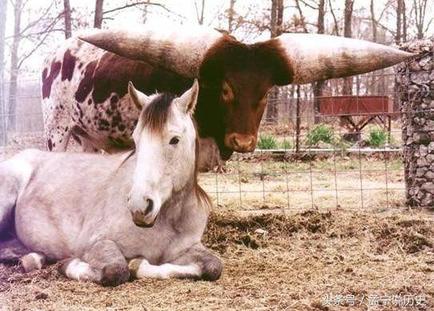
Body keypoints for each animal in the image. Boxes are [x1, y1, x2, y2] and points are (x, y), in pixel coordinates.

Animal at [0, 81, 222, 288]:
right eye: (136, 140)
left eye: (174, 139)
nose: (139, 207)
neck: (168, 219)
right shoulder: (94, 244)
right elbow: (116, 270)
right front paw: (70, 265)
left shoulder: (188, 249)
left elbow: (214, 267)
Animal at [41, 25, 414, 163]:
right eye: (225, 89)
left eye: (265, 93)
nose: (243, 142)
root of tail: (57, 53)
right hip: (57, 131)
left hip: (90, 138)